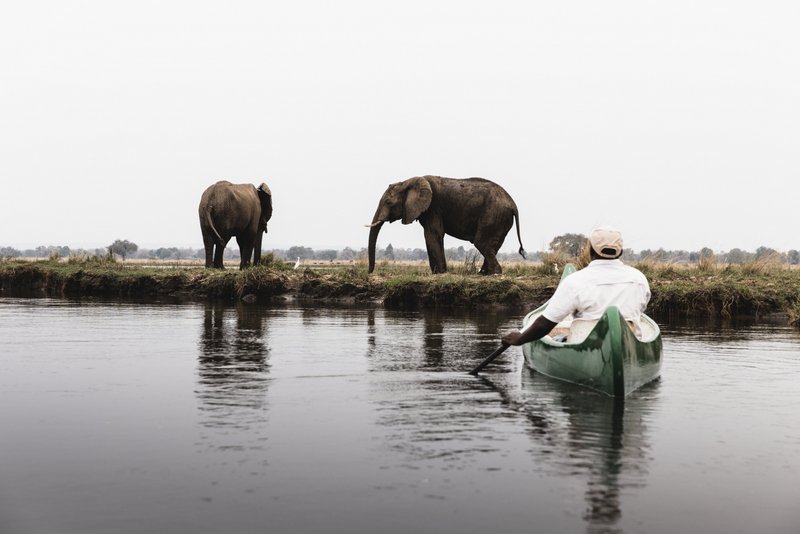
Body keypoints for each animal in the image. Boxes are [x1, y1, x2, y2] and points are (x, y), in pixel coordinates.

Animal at [366, 175, 526, 274]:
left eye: (388, 202)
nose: (369, 272)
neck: (408, 181)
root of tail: (513, 204)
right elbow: (434, 236)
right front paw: (438, 272)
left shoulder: (433, 207)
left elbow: (432, 234)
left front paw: (439, 273)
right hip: (501, 219)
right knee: (493, 246)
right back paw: (484, 274)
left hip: (493, 214)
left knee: (481, 243)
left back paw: (494, 273)